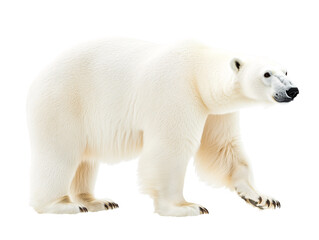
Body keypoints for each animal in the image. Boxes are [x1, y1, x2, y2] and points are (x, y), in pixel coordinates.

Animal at [27, 38, 300, 216]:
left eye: (286, 71)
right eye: (266, 74)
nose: (292, 90)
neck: (198, 70)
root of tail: (41, 72)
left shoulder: (215, 111)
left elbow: (222, 148)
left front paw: (262, 197)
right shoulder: (176, 90)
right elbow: (172, 148)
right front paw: (185, 206)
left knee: (86, 160)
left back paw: (98, 201)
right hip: (65, 102)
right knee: (61, 153)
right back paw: (62, 204)